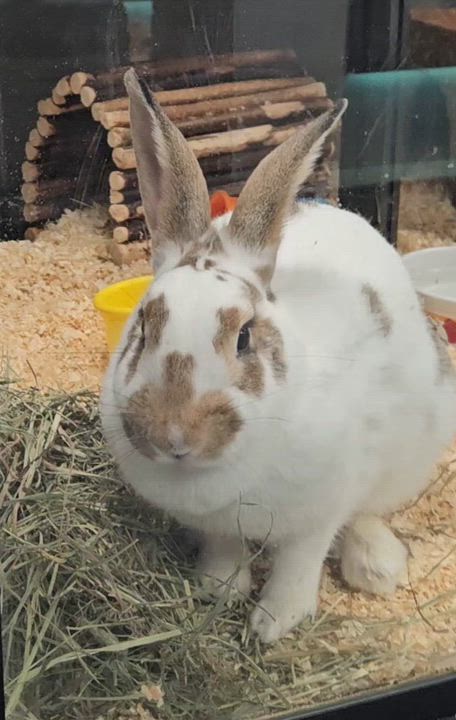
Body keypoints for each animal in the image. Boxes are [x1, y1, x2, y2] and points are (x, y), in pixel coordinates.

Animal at [100, 68, 456, 644]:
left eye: (244, 336)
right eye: (145, 326)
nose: (175, 435)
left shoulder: (320, 510)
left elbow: (300, 560)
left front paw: (273, 623)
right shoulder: (216, 525)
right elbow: (225, 549)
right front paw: (219, 589)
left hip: (410, 453)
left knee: (370, 511)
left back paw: (376, 566)